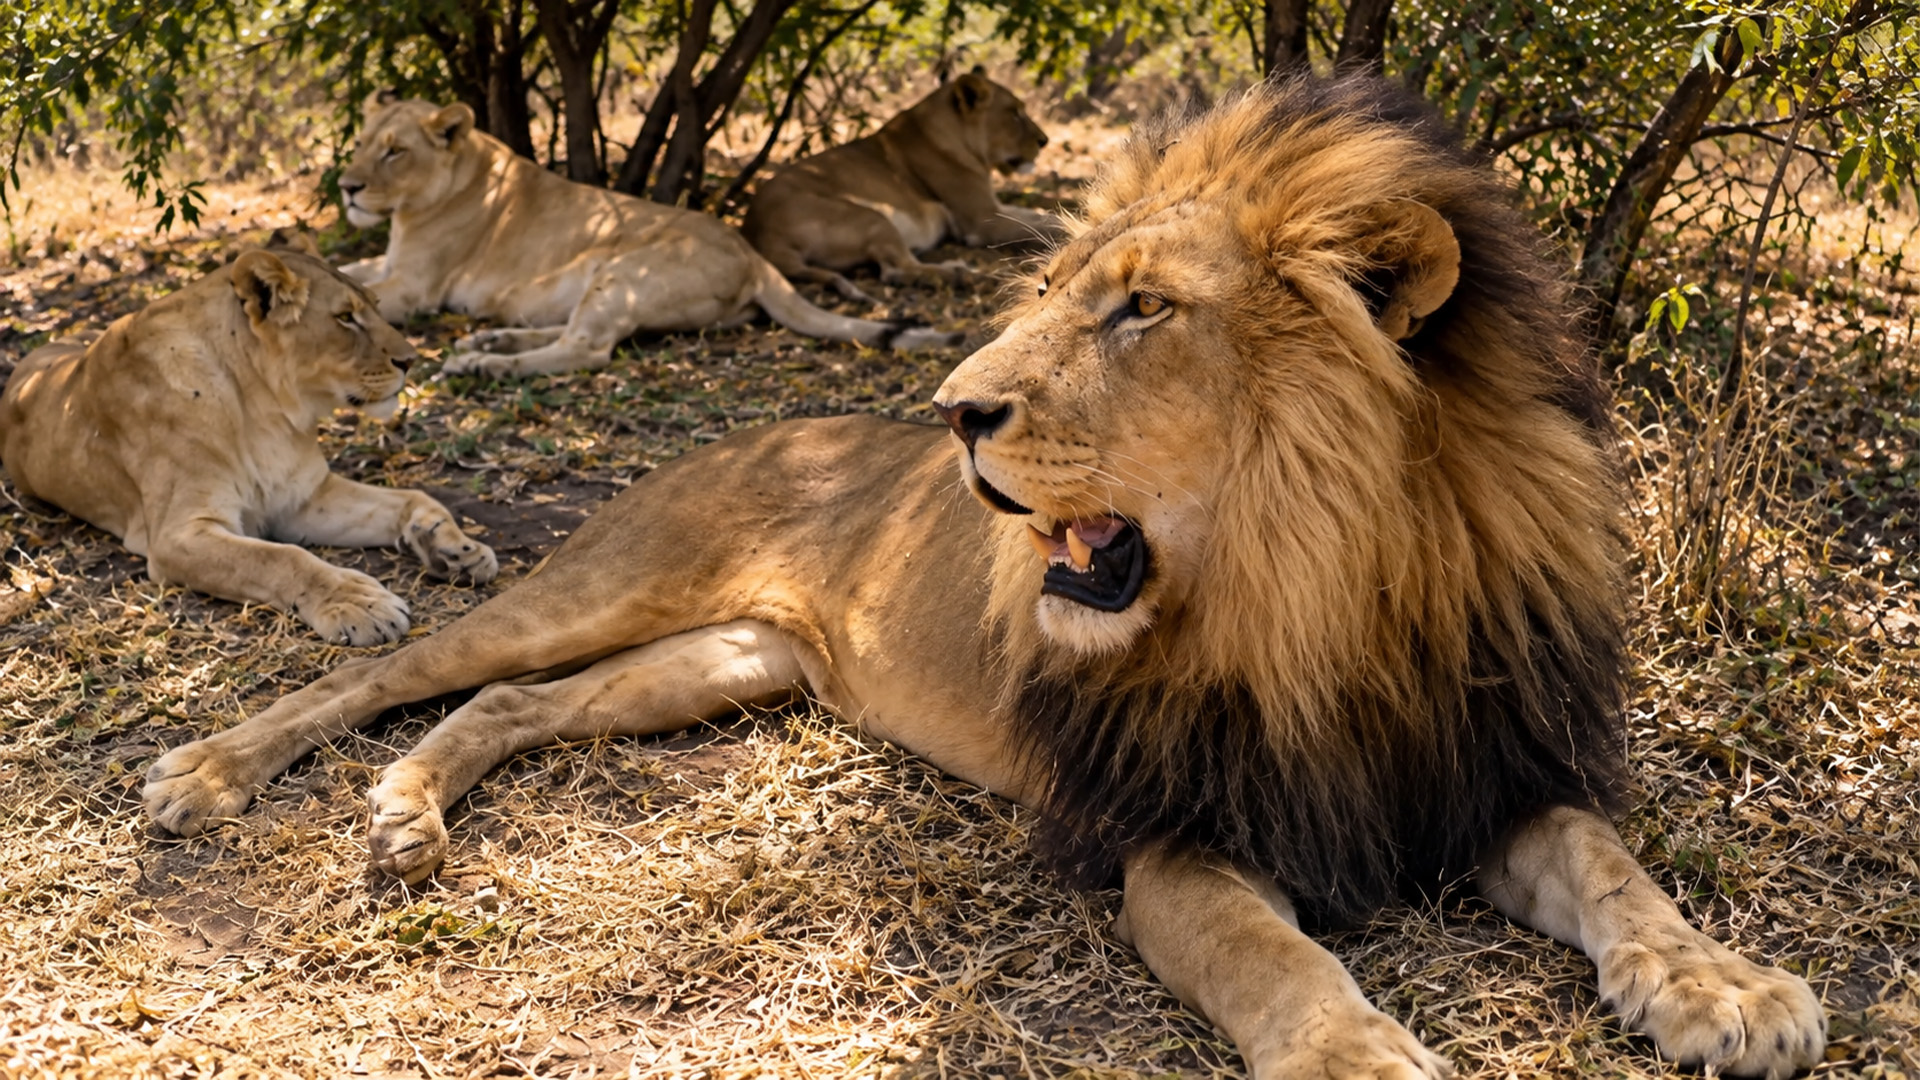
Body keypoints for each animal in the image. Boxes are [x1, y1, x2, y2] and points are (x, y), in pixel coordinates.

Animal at [0, 243, 496, 645]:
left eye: (376, 305)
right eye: (345, 317)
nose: (412, 361)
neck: (265, 411)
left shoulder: (302, 500)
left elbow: (413, 497)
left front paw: (455, 549)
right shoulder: (177, 534)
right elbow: (280, 559)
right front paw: (358, 603)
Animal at [335, 97, 961, 379]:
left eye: (395, 151)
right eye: (361, 142)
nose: (346, 187)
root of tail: (753, 255)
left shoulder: (416, 286)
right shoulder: (386, 263)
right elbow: (344, 274)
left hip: (622, 272)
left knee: (585, 348)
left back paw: (485, 364)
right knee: (570, 334)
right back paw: (489, 342)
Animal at [742, 66, 1064, 304]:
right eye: (1014, 113)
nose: (1045, 141)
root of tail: (759, 234)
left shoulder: (994, 207)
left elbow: (1043, 216)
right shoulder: (982, 220)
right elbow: (1041, 226)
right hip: (872, 215)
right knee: (897, 271)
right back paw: (968, 274)